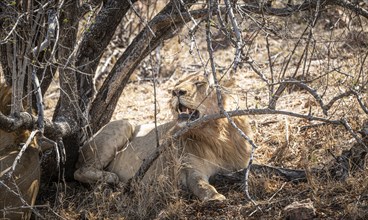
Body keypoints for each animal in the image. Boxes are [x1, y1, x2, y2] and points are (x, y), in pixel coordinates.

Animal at [75, 74, 253, 201]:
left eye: (199, 83)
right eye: (178, 84)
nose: (176, 92)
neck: (216, 134)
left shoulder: (241, 166)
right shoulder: (190, 169)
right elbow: (201, 184)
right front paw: (215, 197)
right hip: (125, 124)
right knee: (79, 171)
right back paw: (112, 178)